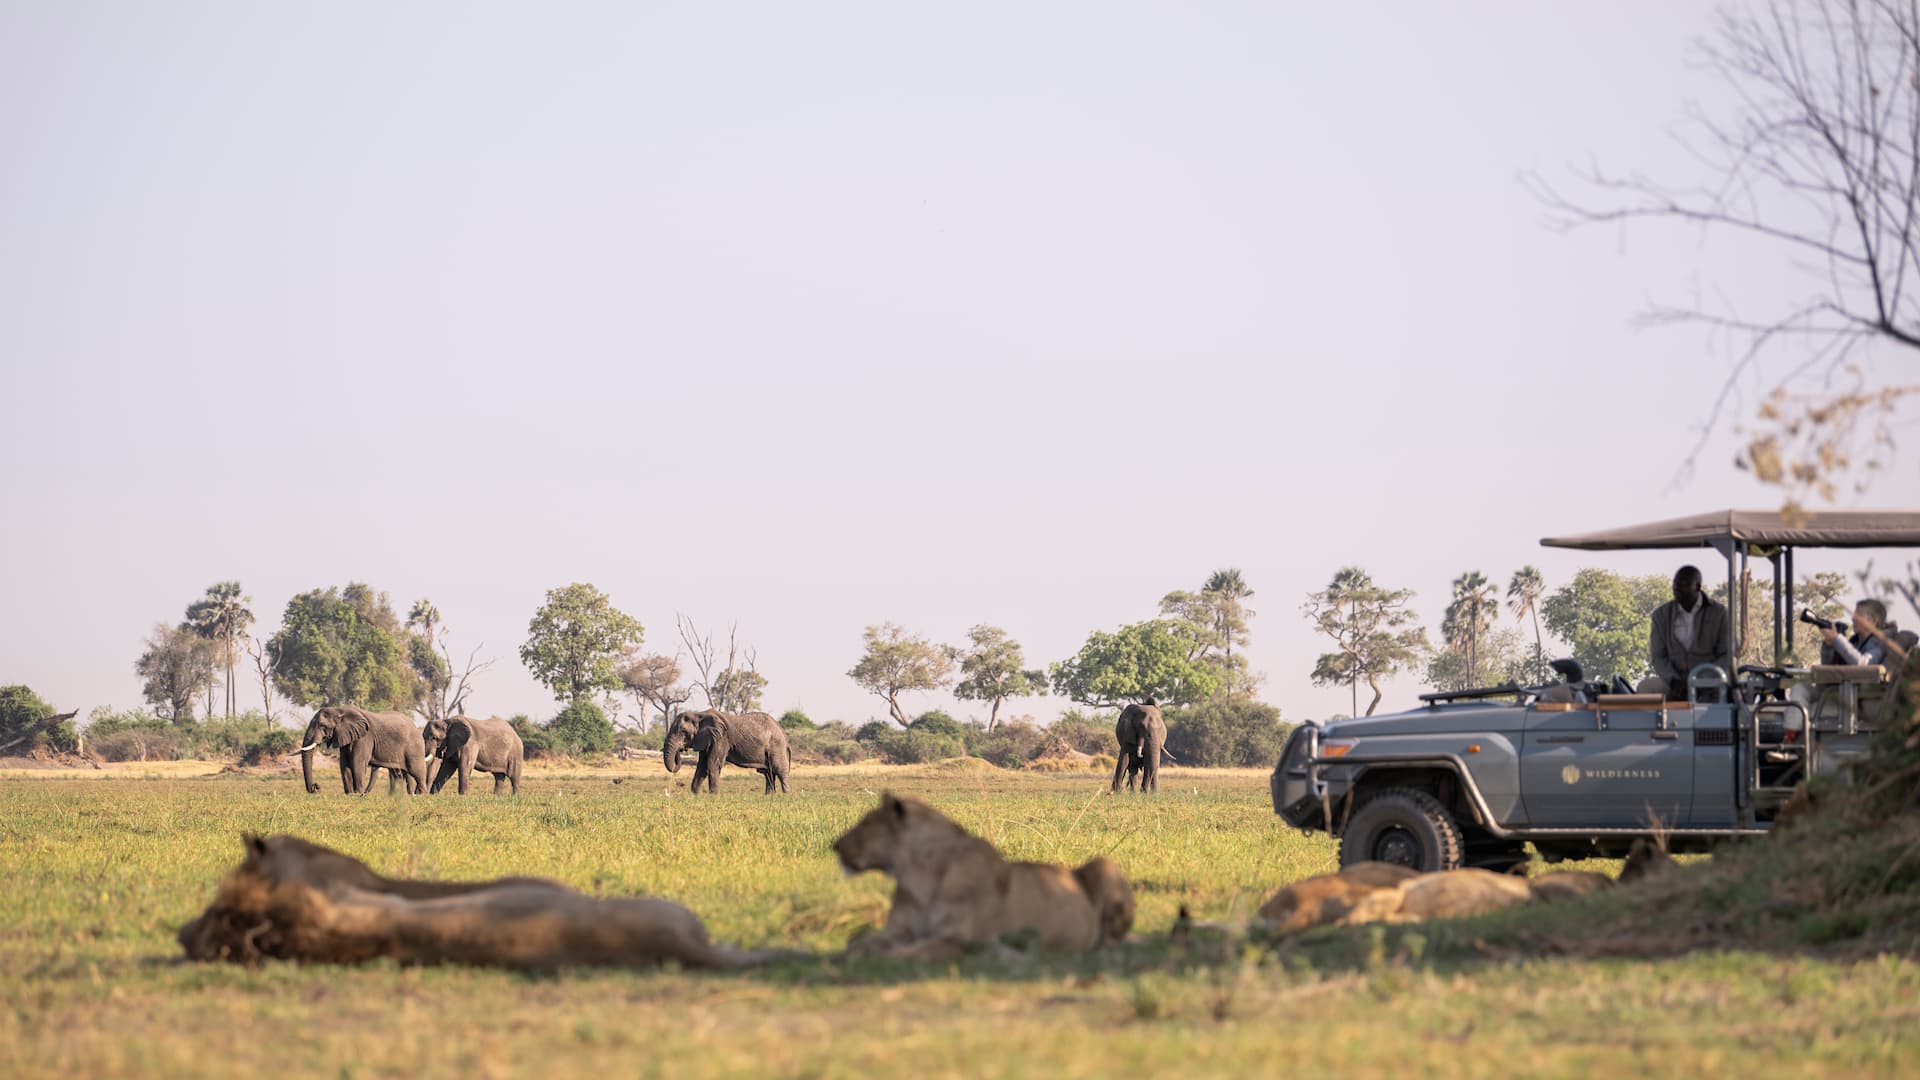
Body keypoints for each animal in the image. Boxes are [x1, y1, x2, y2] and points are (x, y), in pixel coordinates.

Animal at [299, 706, 428, 795]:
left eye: (322, 725)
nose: (316, 787)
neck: (340, 710)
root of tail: (416, 727)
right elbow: (344, 764)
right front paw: (350, 795)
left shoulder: (365, 738)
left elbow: (357, 763)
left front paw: (358, 793)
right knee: (399, 773)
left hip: (414, 747)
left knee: (416, 771)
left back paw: (421, 795)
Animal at [662, 708, 791, 794]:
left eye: (683, 731)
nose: (681, 750)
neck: (699, 714)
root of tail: (784, 734)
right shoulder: (706, 739)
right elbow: (701, 767)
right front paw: (695, 796)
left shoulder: (721, 738)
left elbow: (712, 764)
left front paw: (713, 797)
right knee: (768, 774)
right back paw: (769, 796)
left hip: (776, 746)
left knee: (780, 771)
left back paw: (785, 796)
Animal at [832, 793, 1133, 959]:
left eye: (866, 823)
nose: (835, 845)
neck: (916, 875)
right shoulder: (897, 929)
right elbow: (857, 943)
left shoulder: (956, 939)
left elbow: (908, 953)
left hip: (1105, 863)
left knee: (1110, 942)